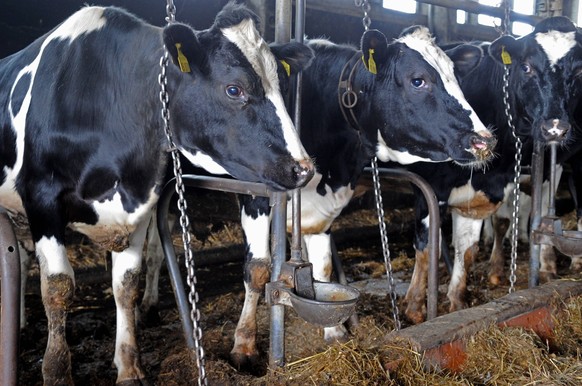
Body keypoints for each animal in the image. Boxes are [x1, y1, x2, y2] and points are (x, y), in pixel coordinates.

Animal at [0, 4, 320, 384]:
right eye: (234, 89)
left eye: (282, 86)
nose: (303, 168)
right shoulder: (41, 198)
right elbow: (57, 287)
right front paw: (57, 371)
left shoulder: (138, 202)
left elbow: (126, 285)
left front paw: (129, 365)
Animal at [396, 15, 582, 324]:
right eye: (526, 66)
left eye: (578, 71)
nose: (555, 128)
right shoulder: (428, 186)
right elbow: (426, 245)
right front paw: (415, 308)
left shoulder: (493, 184)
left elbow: (472, 246)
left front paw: (457, 301)